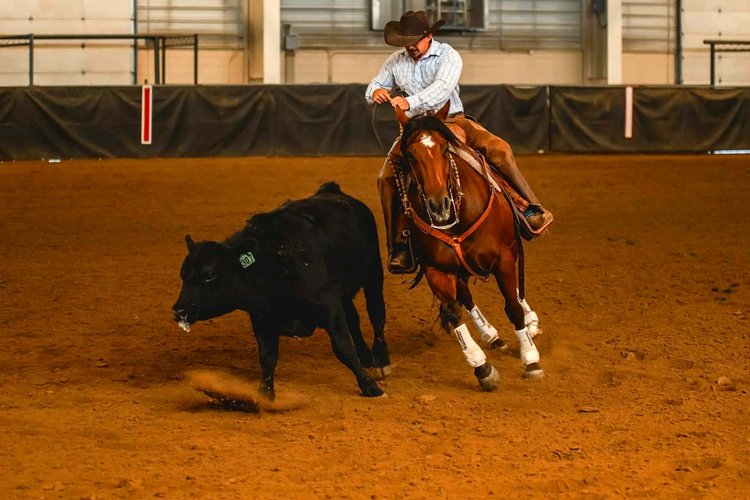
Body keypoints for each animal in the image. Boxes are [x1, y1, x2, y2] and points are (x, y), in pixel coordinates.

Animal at [392, 102, 544, 391]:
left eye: (444, 149)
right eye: (411, 156)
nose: (439, 206)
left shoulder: (503, 258)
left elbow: (513, 306)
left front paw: (531, 359)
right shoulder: (437, 269)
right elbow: (454, 311)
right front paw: (482, 367)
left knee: (516, 295)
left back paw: (530, 321)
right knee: (466, 298)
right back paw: (490, 335)